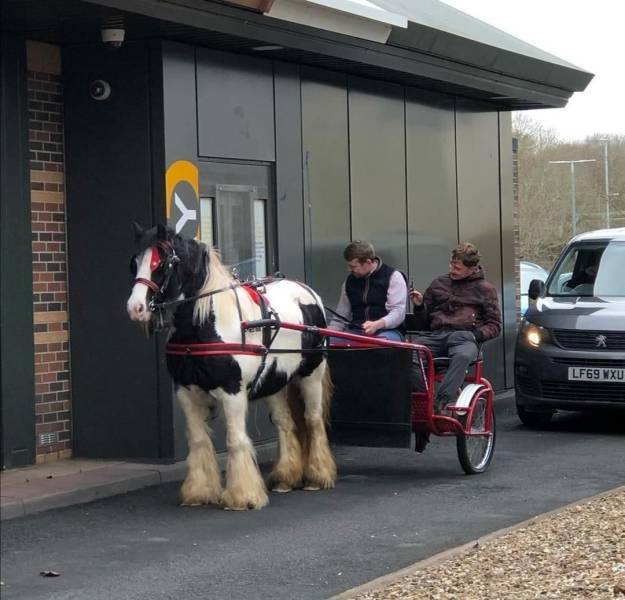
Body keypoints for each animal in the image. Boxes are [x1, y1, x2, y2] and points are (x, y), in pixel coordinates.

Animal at [123, 223, 334, 508]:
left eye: (162, 263)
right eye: (135, 262)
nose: (135, 307)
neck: (205, 325)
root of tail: (305, 290)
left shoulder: (233, 391)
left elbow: (235, 440)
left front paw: (243, 496)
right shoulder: (186, 392)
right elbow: (199, 441)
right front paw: (199, 492)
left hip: (312, 373)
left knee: (312, 419)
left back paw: (317, 476)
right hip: (275, 380)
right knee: (285, 422)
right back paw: (285, 478)